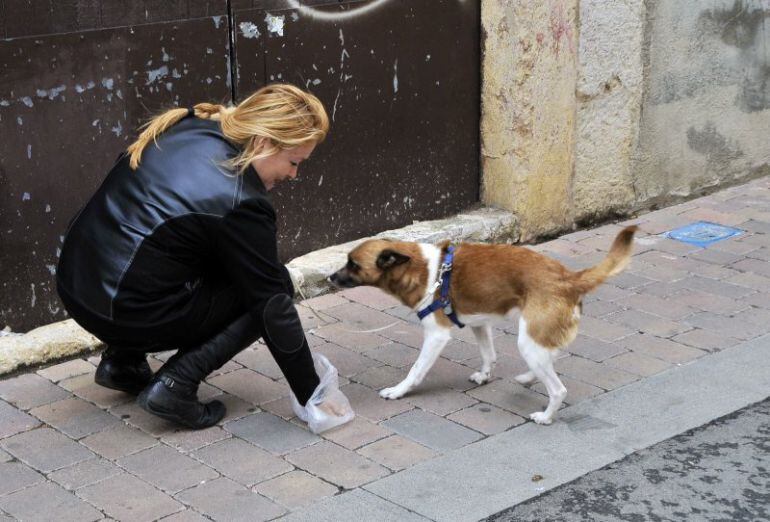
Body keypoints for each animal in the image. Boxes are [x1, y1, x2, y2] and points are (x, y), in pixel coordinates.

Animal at [328, 225, 636, 424]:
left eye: (353, 264)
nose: (330, 278)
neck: (425, 270)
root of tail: (568, 278)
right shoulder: (479, 322)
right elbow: (489, 355)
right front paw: (485, 375)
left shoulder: (437, 335)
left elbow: (416, 370)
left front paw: (398, 391)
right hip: (536, 337)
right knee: (551, 357)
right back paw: (528, 377)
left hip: (529, 340)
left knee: (558, 389)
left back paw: (546, 416)